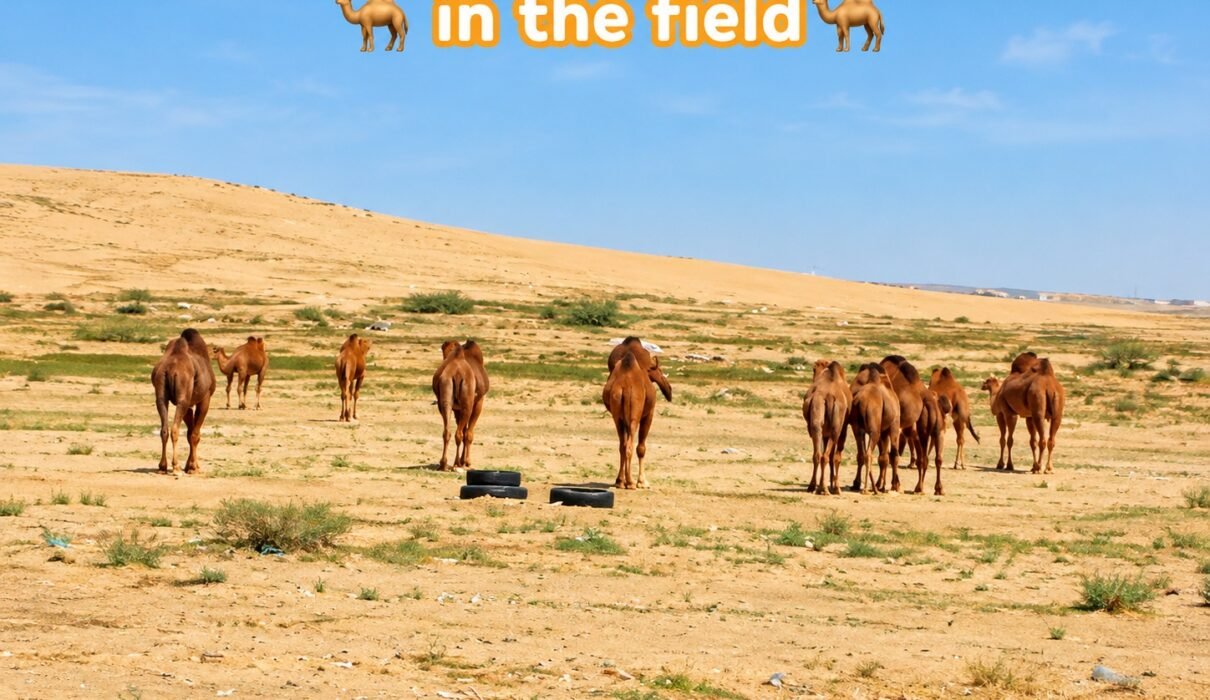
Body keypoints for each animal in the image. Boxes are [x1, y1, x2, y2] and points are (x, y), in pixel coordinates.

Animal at [151, 329, 216, 475]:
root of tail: (169, 369)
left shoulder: (189, 405)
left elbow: (189, 434)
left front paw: (190, 466)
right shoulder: (205, 399)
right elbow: (195, 435)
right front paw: (193, 467)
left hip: (161, 395)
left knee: (164, 429)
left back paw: (162, 466)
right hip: (183, 399)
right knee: (175, 429)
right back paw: (176, 466)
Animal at [432, 340, 490, 471]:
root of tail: (457, 373)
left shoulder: (456, 409)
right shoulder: (479, 402)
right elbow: (468, 433)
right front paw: (466, 461)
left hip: (445, 402)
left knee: (447, 431)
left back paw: (444, 463)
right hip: (467, 405)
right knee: (459, 433)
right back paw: (457, 463)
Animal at [802, 360, 851, 495]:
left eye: (814, 369)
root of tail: (828, 396)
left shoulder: (825, 433)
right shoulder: (843, 428)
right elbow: (836, 457)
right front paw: (835, 487)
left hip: (816, 421)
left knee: (818, 455)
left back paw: (814, 486)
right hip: (837, 428)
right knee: (828, 456)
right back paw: (826, 489)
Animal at [844, 363, 901, 494]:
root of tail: (862, 401)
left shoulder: (883, 431)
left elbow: (883, 457)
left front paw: (882, 485)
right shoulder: (894, 424)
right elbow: (893, 455)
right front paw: (894, 486)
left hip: (858, 428)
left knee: (862, 454)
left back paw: (860, 484)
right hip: (874, 430)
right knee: (869, 453)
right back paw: (870, 489)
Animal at [880, 356, 945, 495]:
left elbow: (892, 454)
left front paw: (895, 485)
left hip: (920, 431)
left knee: (921, 458)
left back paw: (918, 488)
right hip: (937, 431)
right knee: (935, 458)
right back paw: (936, 489)